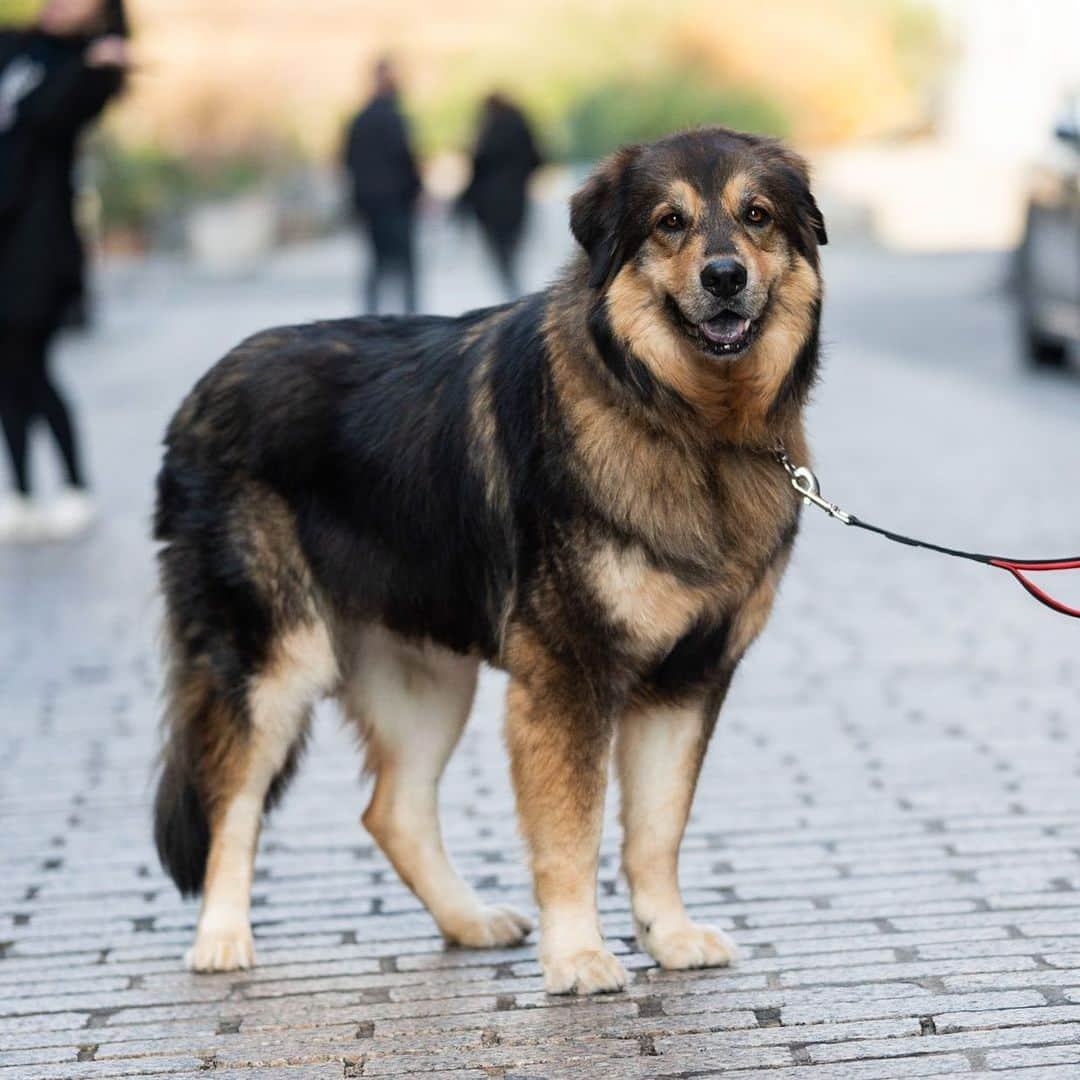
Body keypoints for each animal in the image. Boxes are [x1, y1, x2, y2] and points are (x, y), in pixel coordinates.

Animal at [152, 126, 825, 993]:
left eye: (757, 215)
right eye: (670, 222)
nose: (724, 276)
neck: (687, 421)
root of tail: (198, 397)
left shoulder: (686, 680)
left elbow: (657, 830)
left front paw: (667, 936)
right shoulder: (568, 675)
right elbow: (572, 829)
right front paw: (577, 955)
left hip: (428, 677)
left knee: (393, 811)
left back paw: (468, 922)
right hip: (274, 661)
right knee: (231, 799)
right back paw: (221, 938)